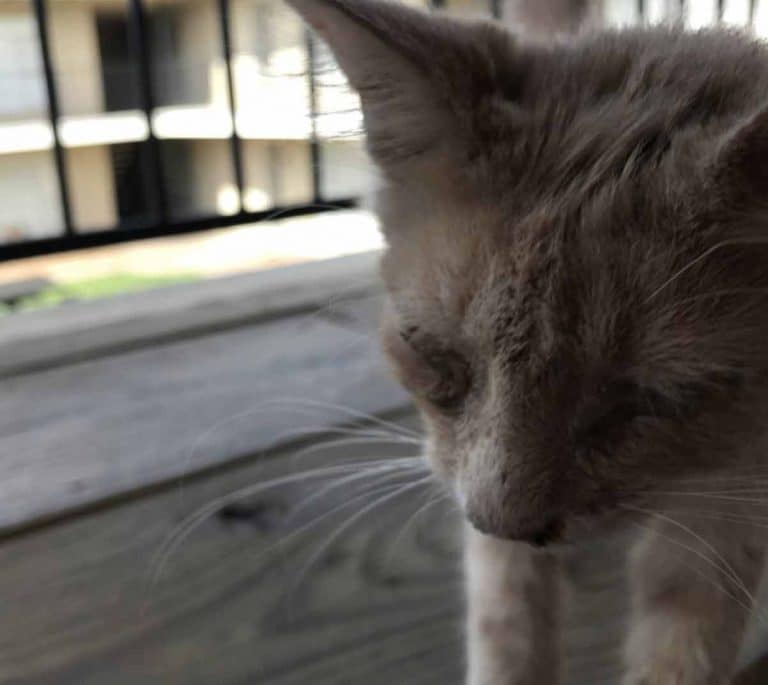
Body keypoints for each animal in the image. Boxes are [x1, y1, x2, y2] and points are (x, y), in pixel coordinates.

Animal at [284, 2, 768, 680]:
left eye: (651, 399)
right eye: (436, 358)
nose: (499, 521)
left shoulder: (730, 496)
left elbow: (684, 643)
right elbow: (506, 622)